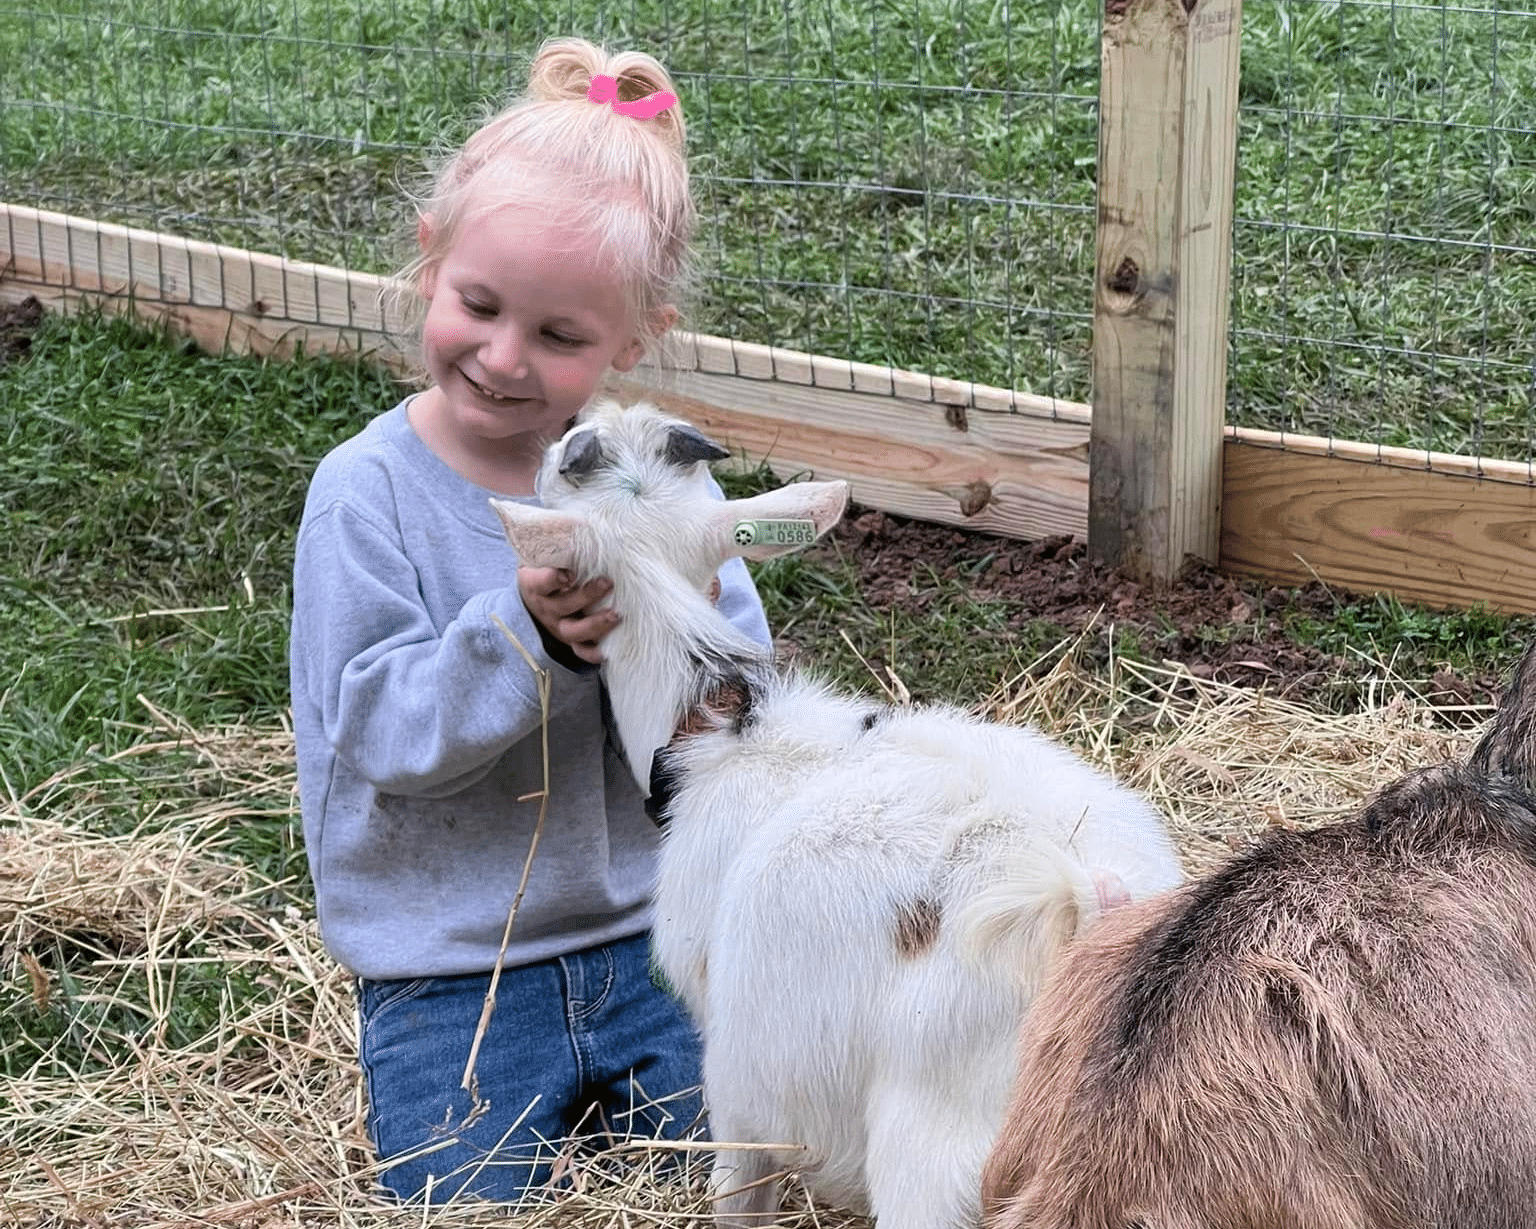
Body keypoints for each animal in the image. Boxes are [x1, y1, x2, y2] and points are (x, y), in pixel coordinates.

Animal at [491, 399, 1184, 1229]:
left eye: (561, 461)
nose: (561, 428)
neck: (721, 722)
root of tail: (1090, 897)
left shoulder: (734, 1072)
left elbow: (739, 1194)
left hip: (937, 1154)